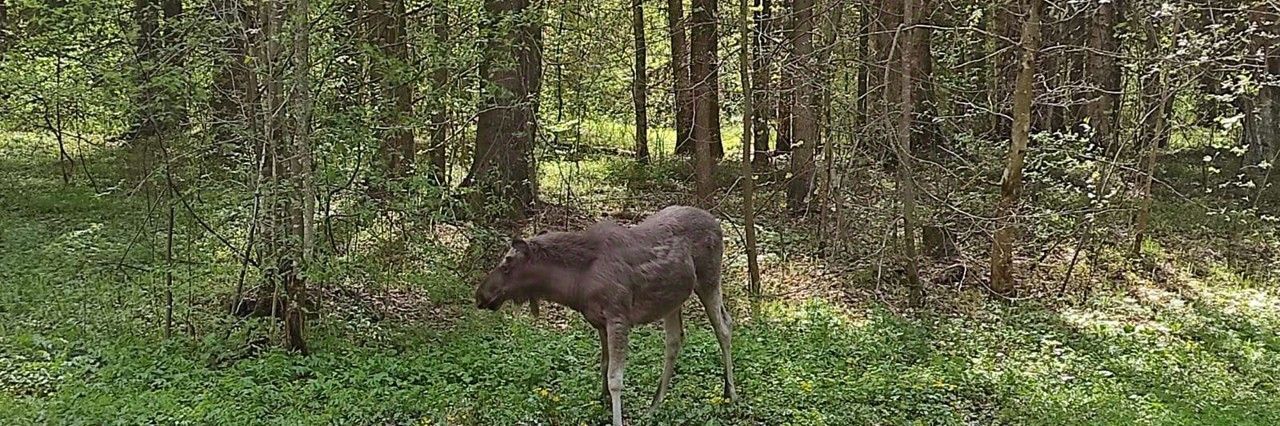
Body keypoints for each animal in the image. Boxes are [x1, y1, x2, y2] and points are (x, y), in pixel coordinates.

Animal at [476, 204, 742, 422]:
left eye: (507, 264)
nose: (480, 295)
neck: (577, 284)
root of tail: (718, 224)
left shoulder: (618, 317)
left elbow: (616, 379)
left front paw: (615, 417)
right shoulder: (599, 323)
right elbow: (604, 366)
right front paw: (602, 404)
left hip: (709, 280)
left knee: (724, 326)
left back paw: (730, 394)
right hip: (673, 300)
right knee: (675, 341)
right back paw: (654, 405)